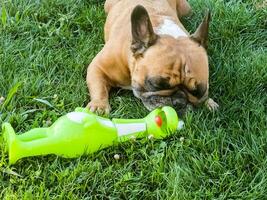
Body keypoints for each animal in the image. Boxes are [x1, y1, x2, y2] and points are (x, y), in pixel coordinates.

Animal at [87, 0, 219, 115]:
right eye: (156, 85)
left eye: (198, 92)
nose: (179, 102)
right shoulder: (98, 67)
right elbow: (99, 87)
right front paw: (99, 106)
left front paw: (208, 102)